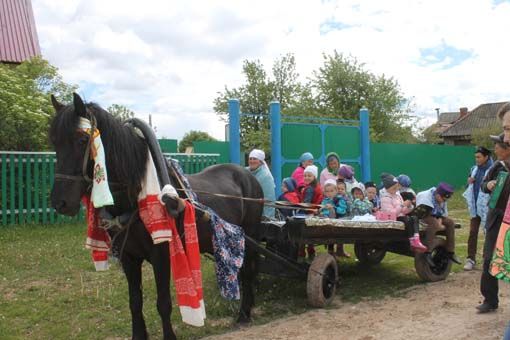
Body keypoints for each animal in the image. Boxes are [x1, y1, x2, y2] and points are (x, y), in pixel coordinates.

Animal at [49, 93, 262, 340]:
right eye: (54, 142)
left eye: (82, 140)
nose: (60, 202)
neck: (133, 196)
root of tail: (247, 173)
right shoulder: (128, 256)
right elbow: (135, 301)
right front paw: (138, 335)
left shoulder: (161, 256)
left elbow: (163, 303)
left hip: (249, 236)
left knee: (247, 272)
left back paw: (244, 314)